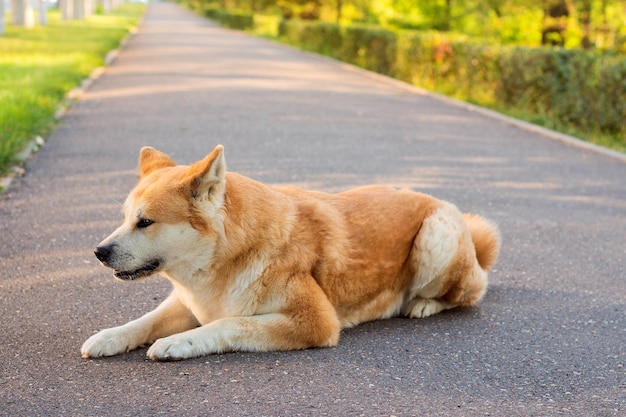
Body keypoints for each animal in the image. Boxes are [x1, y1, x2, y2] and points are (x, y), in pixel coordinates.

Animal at [83, 145, 500, 360]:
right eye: (124, 218)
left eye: (146, 222)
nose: (99, 251)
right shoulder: (187, 303)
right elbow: (143, 321)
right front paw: (109, 337)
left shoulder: (315, 321)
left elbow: (229, 324)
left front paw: (179, 342)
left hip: (436, 237)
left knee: (469, 292)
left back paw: (425, 304)